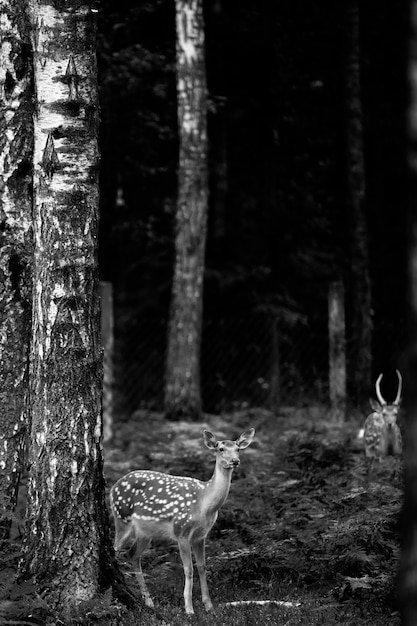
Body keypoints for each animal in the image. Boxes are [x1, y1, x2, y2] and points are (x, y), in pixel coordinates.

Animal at [109, 426, 255, 612]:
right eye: (221, 449)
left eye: (238, 449)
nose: (235, 461)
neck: (204, 504)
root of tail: (112, 487)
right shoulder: (181, 531)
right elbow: (188, 569)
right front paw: (189, 609)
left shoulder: (201, 535)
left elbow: (202, 566)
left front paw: (209, 606)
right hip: (122, 518)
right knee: (115, 550)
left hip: (145, 533)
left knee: (132, 554)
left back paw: (149, 602)